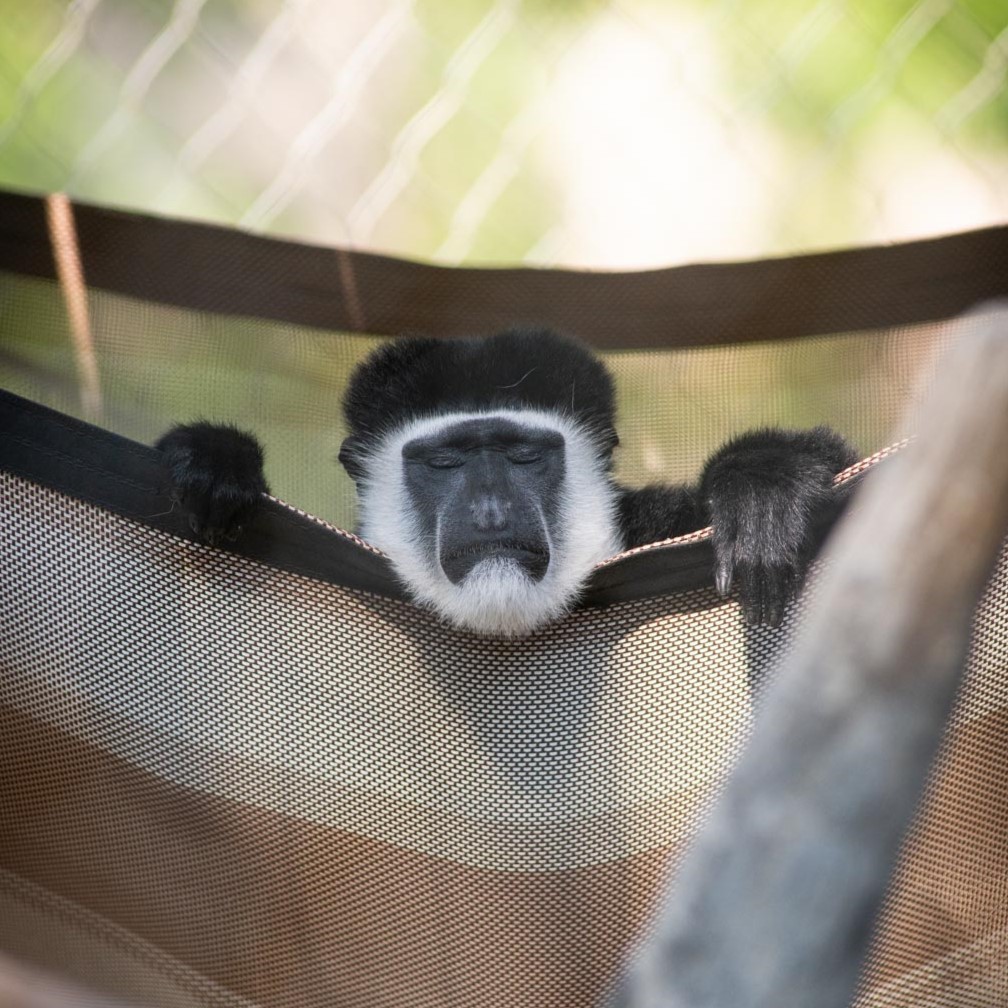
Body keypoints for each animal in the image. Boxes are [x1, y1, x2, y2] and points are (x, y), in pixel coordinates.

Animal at [155, 334, 850, 637]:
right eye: (444, 463)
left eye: (523, 456)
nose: (491, 511)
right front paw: (215, 463)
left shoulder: (658, 521)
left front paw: (763, 487)